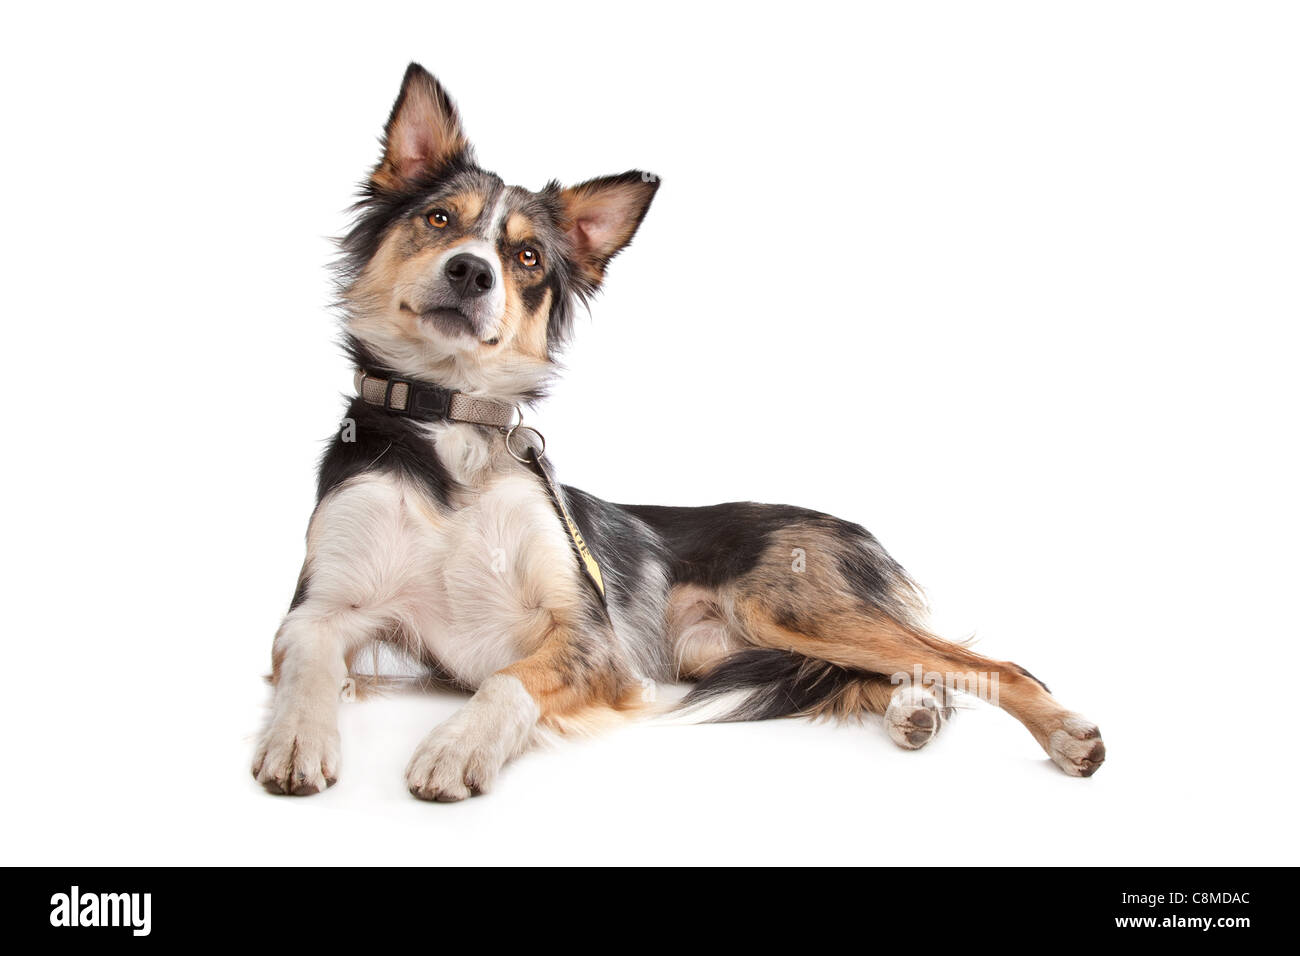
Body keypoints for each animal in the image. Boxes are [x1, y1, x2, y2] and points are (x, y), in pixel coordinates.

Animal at [253, 63, 1107, 801]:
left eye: (525, 256)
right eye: (439, 221)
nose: (472, 271)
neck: (450, 424)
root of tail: (851, 527)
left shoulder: (591, 634)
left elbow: (505, 679)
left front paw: (457, 745)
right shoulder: (322, 606)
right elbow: (307, 660)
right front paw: (296, 736)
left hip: (799, 612)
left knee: (992, 664)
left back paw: (1065, 732)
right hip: (736, 647)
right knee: (903, 676)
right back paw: (914, 710)